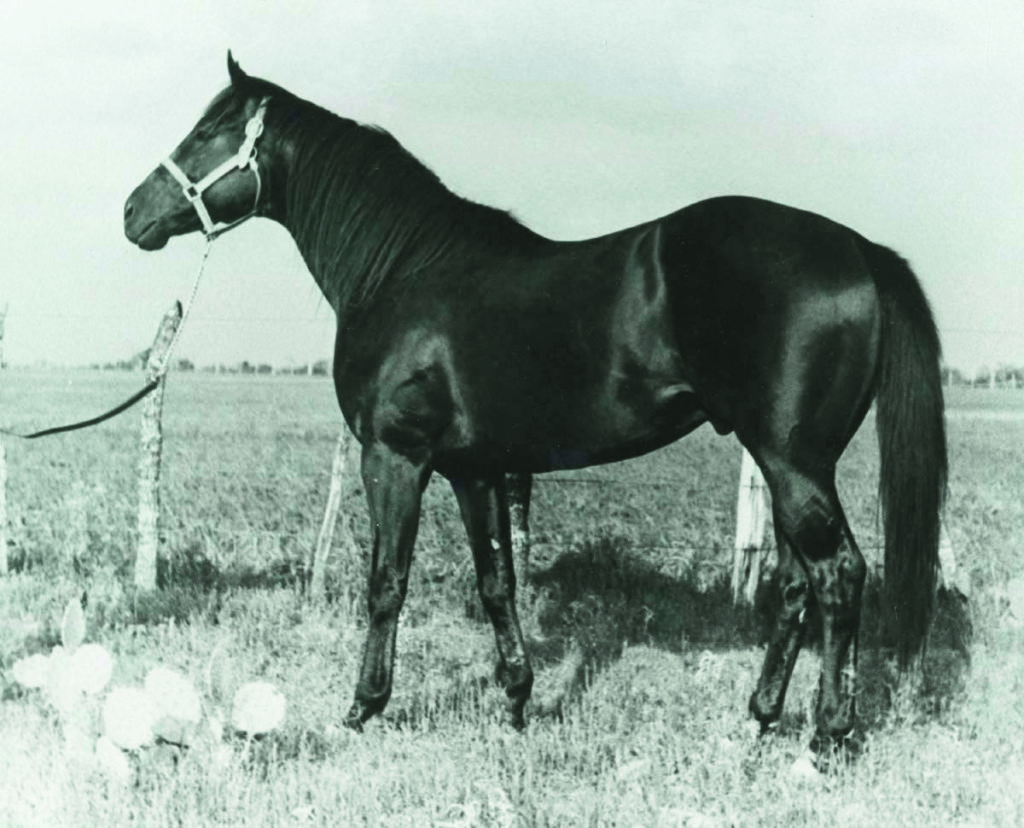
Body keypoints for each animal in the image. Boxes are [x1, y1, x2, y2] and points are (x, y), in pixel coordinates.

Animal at [124, 53, 946, 759]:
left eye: (209, 131)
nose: (133, 212)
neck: (403, 271)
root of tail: (858, 249)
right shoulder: (475, 469)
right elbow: (498, 583)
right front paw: (517, 702)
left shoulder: (395, 455)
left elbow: (387, 581)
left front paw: (363, 707)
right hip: (784, 464)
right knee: (796, 584)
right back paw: (759, 719)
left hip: (793, 461)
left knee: (838, 575)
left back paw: (827, 735)